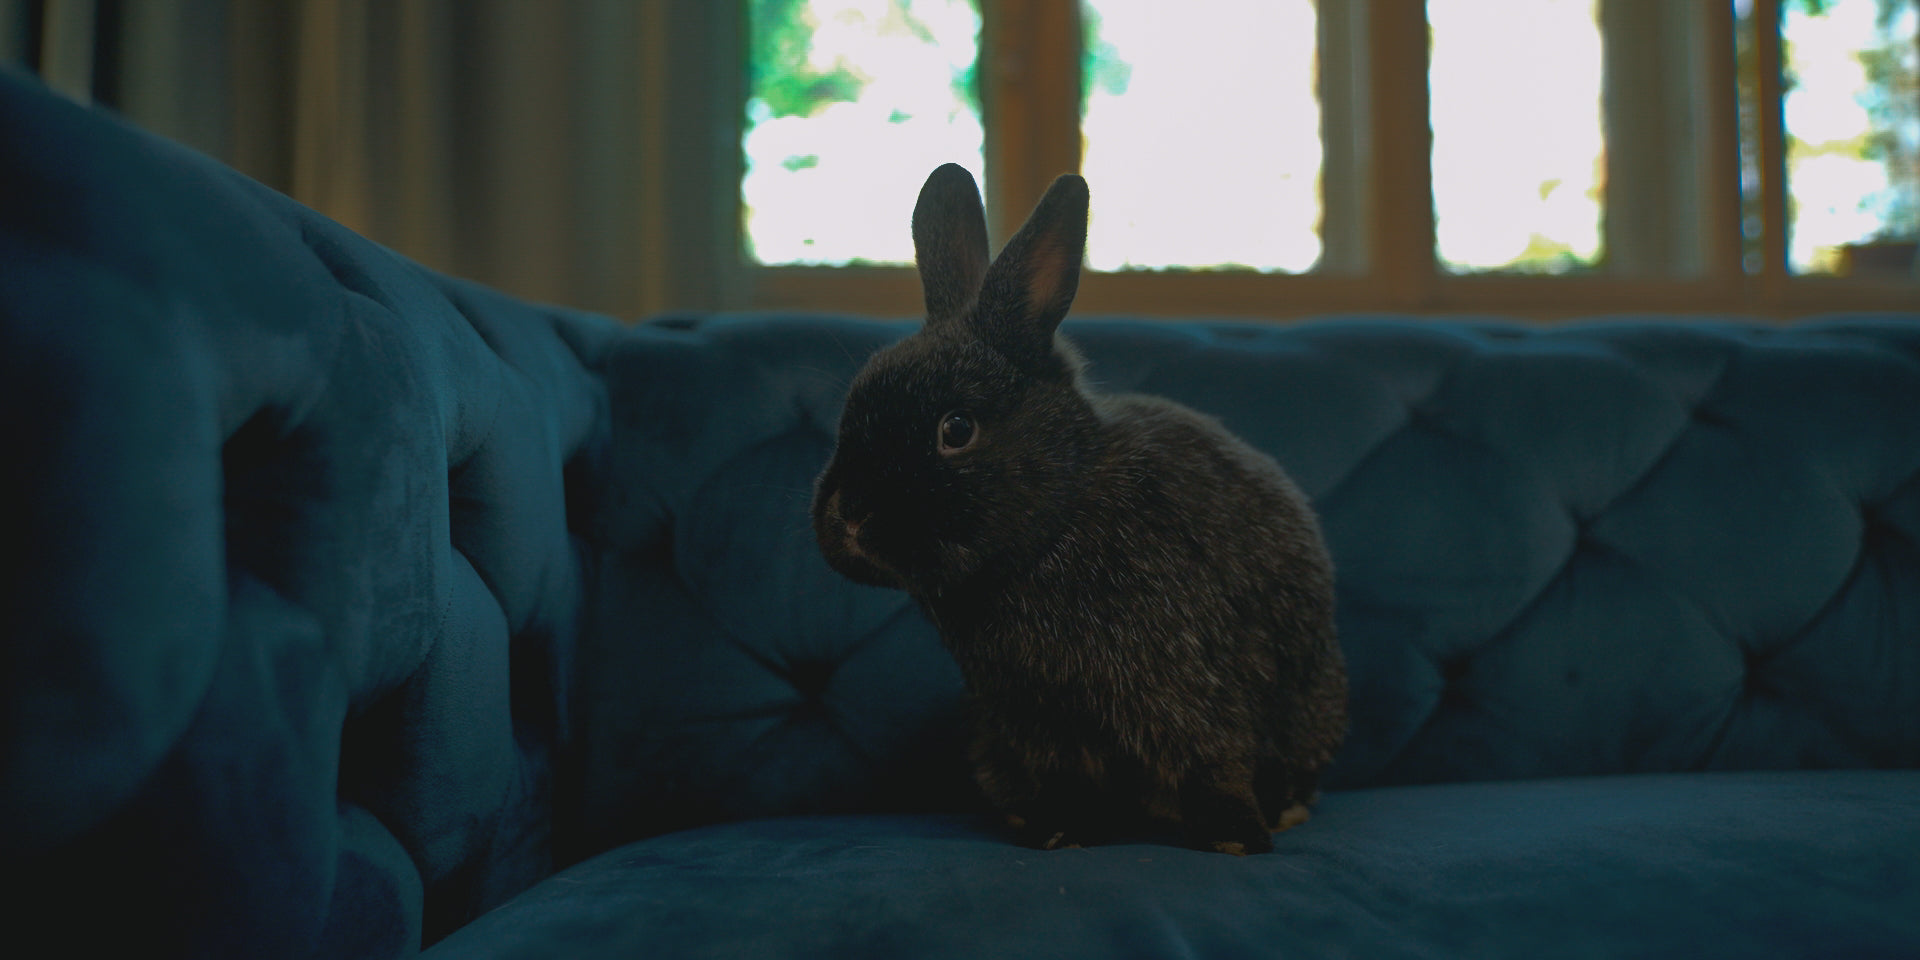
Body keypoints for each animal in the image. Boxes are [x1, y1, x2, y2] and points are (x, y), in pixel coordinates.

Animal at [811, 163, 1346, 855]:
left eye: (956, 429)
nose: (849, 516)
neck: (1056, 525)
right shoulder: (1029, 721)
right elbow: (1060, 782)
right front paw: (1058, 833)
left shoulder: (1189, 686)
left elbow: (1214, 759)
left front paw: (1236, 839)